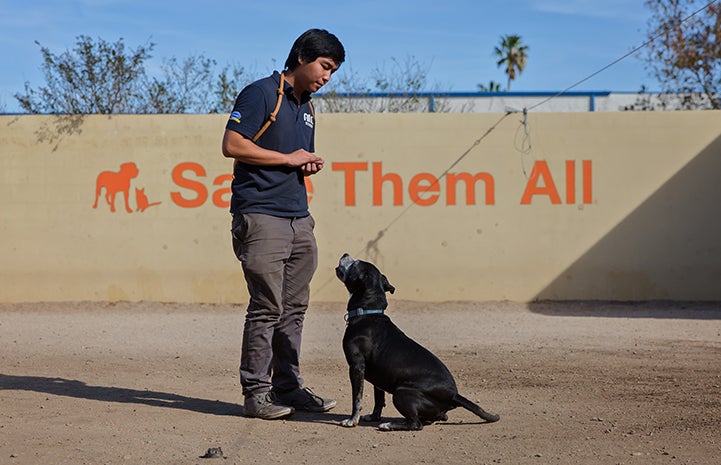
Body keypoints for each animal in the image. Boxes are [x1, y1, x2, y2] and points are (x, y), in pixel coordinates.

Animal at [334, 252, 498, 430]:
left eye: (355, 264)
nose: (345, 254)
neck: (367, 313)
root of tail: (453, 395)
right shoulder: (378, 376)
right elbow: (379, 398)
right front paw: (374, 416)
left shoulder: (356, 367)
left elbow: (357, 398)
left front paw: (352, 420)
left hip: (401, 392)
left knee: (415, 424)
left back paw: (389, 425)